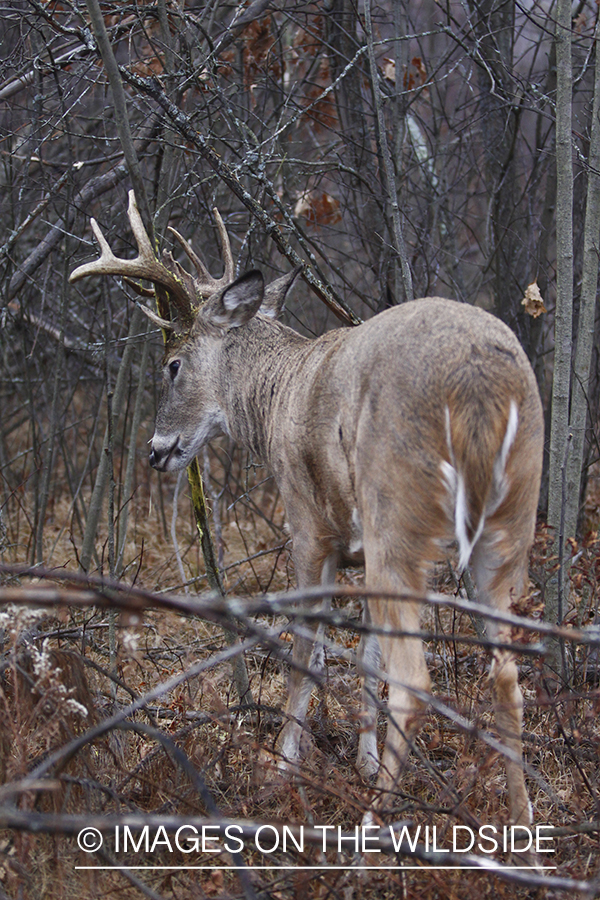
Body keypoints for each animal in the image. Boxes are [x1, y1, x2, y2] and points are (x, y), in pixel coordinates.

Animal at [70, 193, 544, 828]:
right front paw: (361, 761)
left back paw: (372, 829)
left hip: (398, 518)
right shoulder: (356, 552)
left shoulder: (308, 527)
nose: (155, 450)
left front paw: (282, 766)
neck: (277, 397)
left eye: (173, 363)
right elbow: (363, 657)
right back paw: (521, 824)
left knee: (414, 679)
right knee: (508, 677)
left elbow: (303, 651)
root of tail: (477, 381)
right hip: (509, 526)